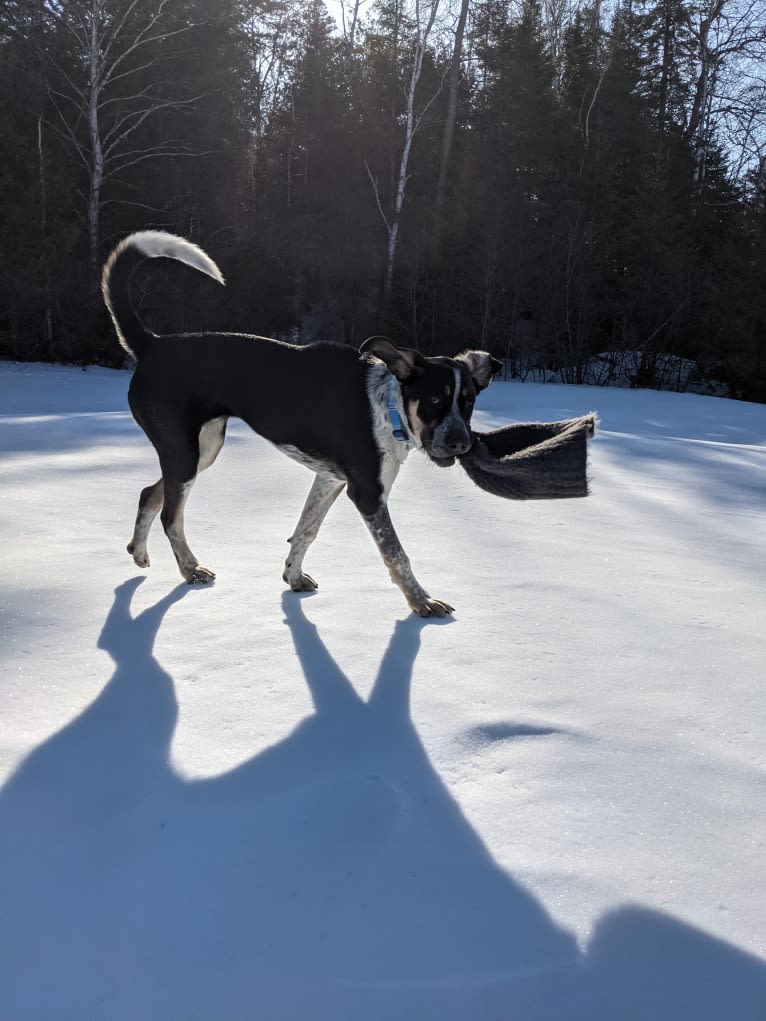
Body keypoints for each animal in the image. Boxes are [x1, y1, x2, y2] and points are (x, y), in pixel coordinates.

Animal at [105, 229, 504, 612]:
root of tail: (152, 344)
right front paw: (421, 601)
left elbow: (305, 531)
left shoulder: (330, 479)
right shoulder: (368, 492)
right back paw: (190, 569)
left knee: (149, 493)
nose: (460, 442)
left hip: (203, 448)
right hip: (184, 451)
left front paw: (293, 577)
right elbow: (396, 554)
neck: (387, 405)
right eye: (435, 400)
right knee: (170, 516)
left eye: (468, 403)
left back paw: (139, 552)